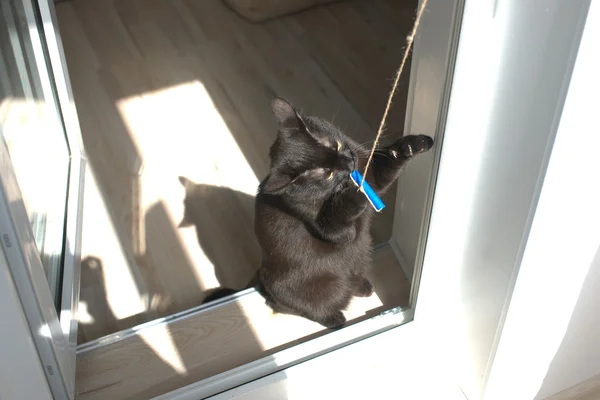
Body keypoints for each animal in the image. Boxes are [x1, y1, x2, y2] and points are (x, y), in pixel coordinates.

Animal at [251, 97, 434, 328]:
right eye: (327, 173)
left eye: (335, 145)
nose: (349, 161)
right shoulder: (326, 227)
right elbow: (341, 225)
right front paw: (353, 196)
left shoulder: (371, 173)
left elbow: (389, 162)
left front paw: (412, 145)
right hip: (296, 292)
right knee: (296, 308)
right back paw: (336, 319)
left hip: (361, 254)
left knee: (350, 277)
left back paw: (363, 287)